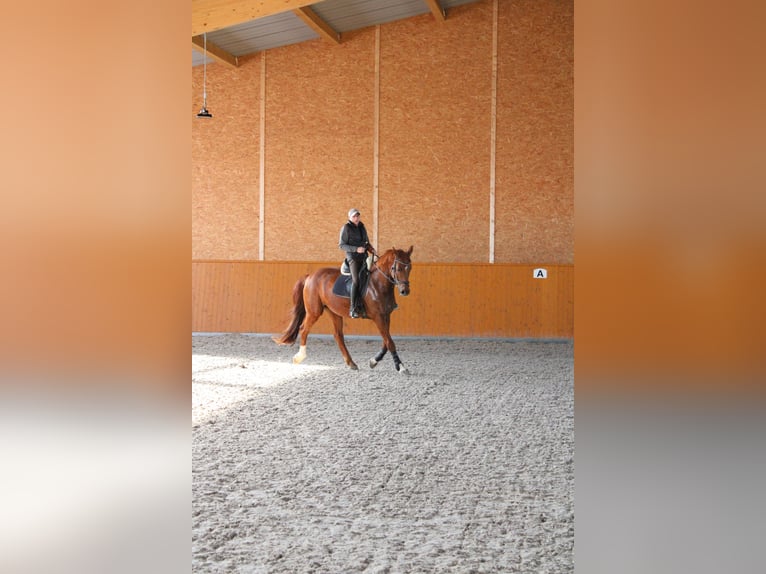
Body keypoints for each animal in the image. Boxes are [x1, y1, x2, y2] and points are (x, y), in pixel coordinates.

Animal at [273, 246, 414, 373]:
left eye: (409, 268)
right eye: (398, 268)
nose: (405, 291)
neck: (378, 283)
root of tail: (310, 276)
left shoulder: (386, 315)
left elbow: (386, 341)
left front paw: (373, 361)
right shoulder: (377, 316)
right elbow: (390, 342)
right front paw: (401, 367)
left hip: (334, 312)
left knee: (338, 335)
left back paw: (351, 363)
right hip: (314, 312)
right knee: (304, 329)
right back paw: (299, 357)